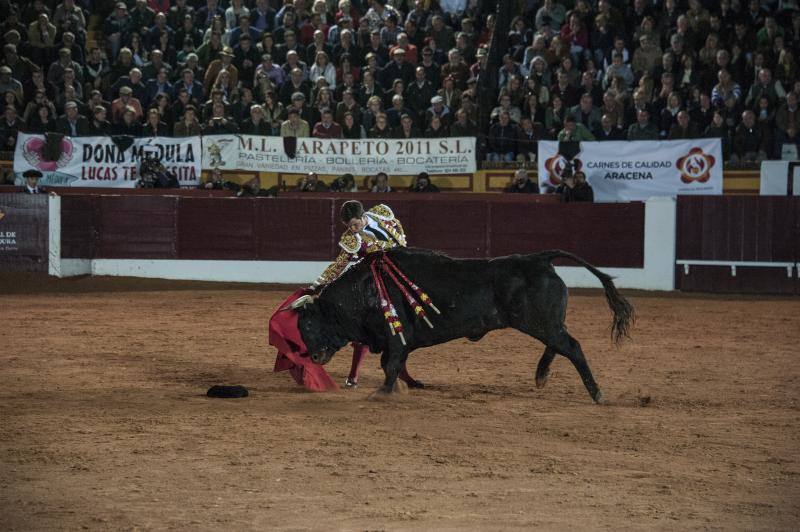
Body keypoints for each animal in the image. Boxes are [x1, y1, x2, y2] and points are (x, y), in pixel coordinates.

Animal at [290, 248, 636, 404]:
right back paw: (541, 375)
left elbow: (392, 364)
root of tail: (539, 259)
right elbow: (393, 363)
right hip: (547, 322)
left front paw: (384, 393)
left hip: (539, 322)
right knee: (559, 344)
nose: (312, 356)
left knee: (572, 347)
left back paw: (596, 394)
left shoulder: (396, 337)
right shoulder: (395, 340)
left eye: (309, 322)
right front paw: (401, 387)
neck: (362, 290)